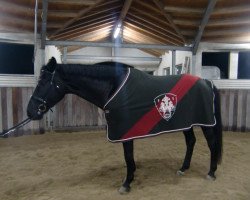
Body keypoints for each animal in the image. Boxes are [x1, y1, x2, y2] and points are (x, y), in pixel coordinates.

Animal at [27, 57, 223, 195]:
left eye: (43, 82)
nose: (30, 111)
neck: (114, 87)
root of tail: (207, 82)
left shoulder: (125, 132)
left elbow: (128, 157)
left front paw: (126, 183)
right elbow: (129, 158)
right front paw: (131, 177)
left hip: (205, 123)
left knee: (212, 144)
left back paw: (211, 173)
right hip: (186, 123)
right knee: (191, 142)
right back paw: (183, 169)